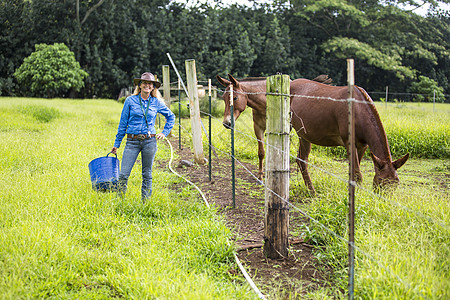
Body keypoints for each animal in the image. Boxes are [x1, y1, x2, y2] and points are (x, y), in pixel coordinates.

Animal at [216, 74, 410, 193]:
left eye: (395, 184)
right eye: (381, 184)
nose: (226, 122)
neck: (358, 108)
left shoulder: (361, 145)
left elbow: (355, 172)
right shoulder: (349, 143)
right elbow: (357, 174)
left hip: (303, 135)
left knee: (300, 160)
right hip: (300, 135)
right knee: (301, 160)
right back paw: (311, 191)